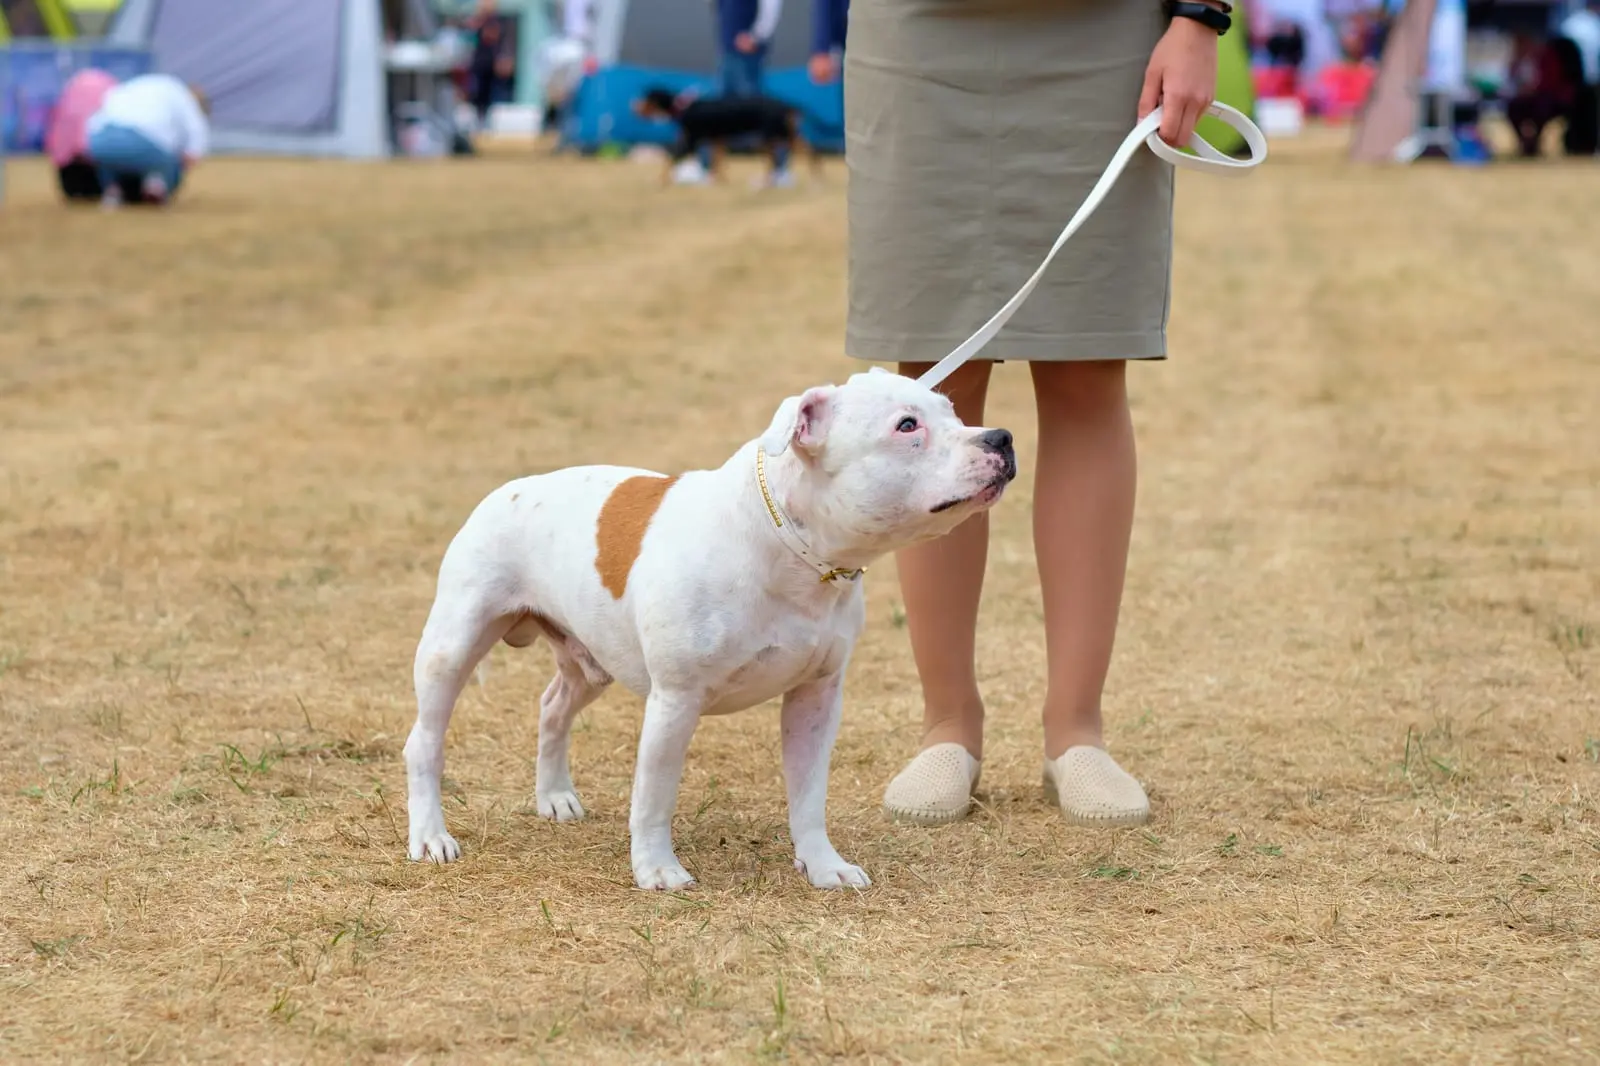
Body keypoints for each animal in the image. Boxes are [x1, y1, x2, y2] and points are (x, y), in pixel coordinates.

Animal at [406, 368, 1017, 889]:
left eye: (954, 412)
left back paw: (554, 796)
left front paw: (823, 866)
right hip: (453, 646)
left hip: (591, 663)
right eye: (907, 425)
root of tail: (506, 489)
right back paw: (432, 836)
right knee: (425, 742)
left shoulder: (816, 698)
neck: (789, 548)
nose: (1002, 438)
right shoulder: (676, 700)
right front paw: (656, 869)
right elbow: (654, 794)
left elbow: (808, 795)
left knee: (553, 706)